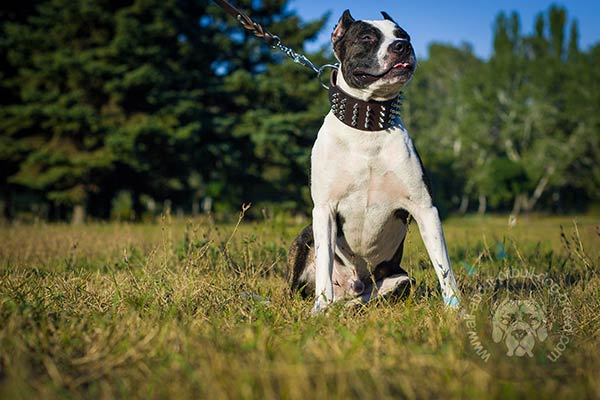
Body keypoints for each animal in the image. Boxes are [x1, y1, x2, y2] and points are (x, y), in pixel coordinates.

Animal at [286, 9, 460, 312]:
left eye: (404, 35)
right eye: (367, 37)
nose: (402, 46)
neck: (367, 125)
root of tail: (352, 286)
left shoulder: (425, 208)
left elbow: (443, 265)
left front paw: (456, 310)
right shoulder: (324, 211)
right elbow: (324, 264)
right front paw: (319, 310)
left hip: (400, 280)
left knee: (365, 300)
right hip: (305, 236)